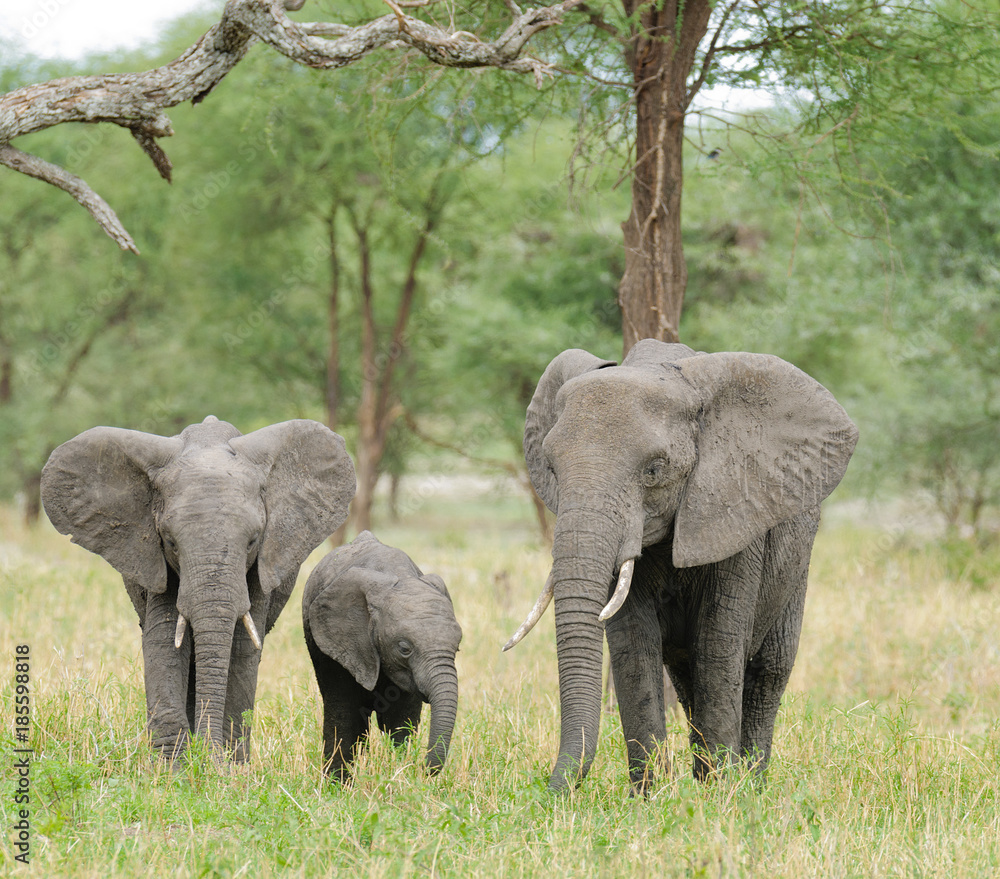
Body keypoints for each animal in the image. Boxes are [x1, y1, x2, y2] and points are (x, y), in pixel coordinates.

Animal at [41, 416, 356, 762]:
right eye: (170, 543)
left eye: (252, 541)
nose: (208, 755)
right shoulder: (156, 561)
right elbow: (164, 641)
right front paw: (174, 770)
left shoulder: (262, 566)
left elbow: (242, 646)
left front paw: (227, 769)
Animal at [302, 530, 462, 779]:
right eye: (404, 648)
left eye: (457, 647)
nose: (423, 769)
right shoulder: (338, 644)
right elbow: (344, 713)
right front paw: (337, 784)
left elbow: (400, 720)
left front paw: (399, 773)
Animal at [506, 339, 858, 793]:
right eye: (550, 468)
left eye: (654, 470)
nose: (549, 793)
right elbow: (632, 643)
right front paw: (652, 797)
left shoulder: (736, 509)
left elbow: (718, 643)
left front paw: (722, 796)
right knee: (687, 676)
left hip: (798, 562)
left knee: (768, 669)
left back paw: (750, 785)